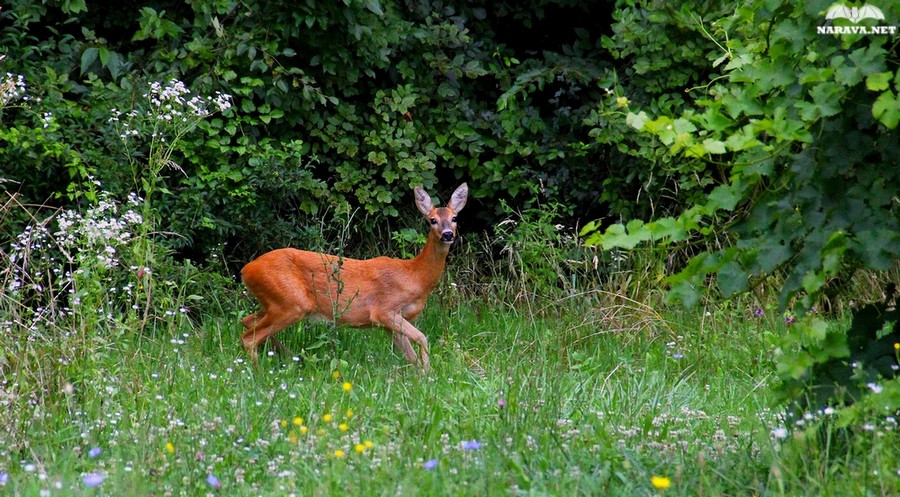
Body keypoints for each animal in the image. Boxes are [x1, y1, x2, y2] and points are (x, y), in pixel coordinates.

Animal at [241, 182, 472, 368]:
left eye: (454, 218)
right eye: (432, 220)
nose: (448, 234)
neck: (415, 275)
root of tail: (246, 270)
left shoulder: (391, 323)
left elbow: (410, 355)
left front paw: (424, 377)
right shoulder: (384, 309)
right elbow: (422, 338)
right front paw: (428, 372)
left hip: (275, 302)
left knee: (247, 321)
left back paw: (290, 358)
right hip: (292, 302)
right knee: (248, 338)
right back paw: (261, 374)